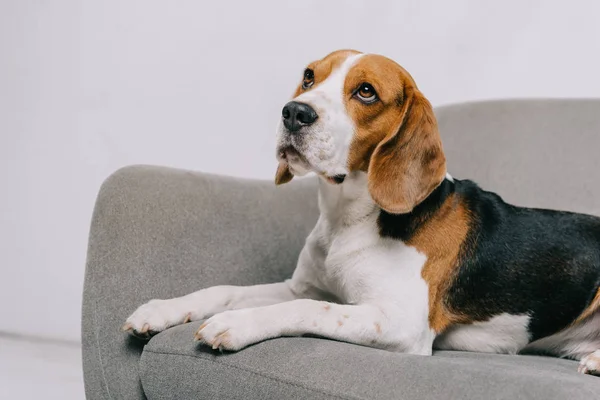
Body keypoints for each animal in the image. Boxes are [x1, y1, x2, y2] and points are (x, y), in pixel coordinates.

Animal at [122, 49, 600, 376]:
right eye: (309, 77)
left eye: (366, 92)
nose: (294, 112)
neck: (349, 218)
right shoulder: (300, 287)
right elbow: (224, 290)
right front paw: (161, 310)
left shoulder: (399, 323)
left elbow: (310, 311)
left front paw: (235, 325)